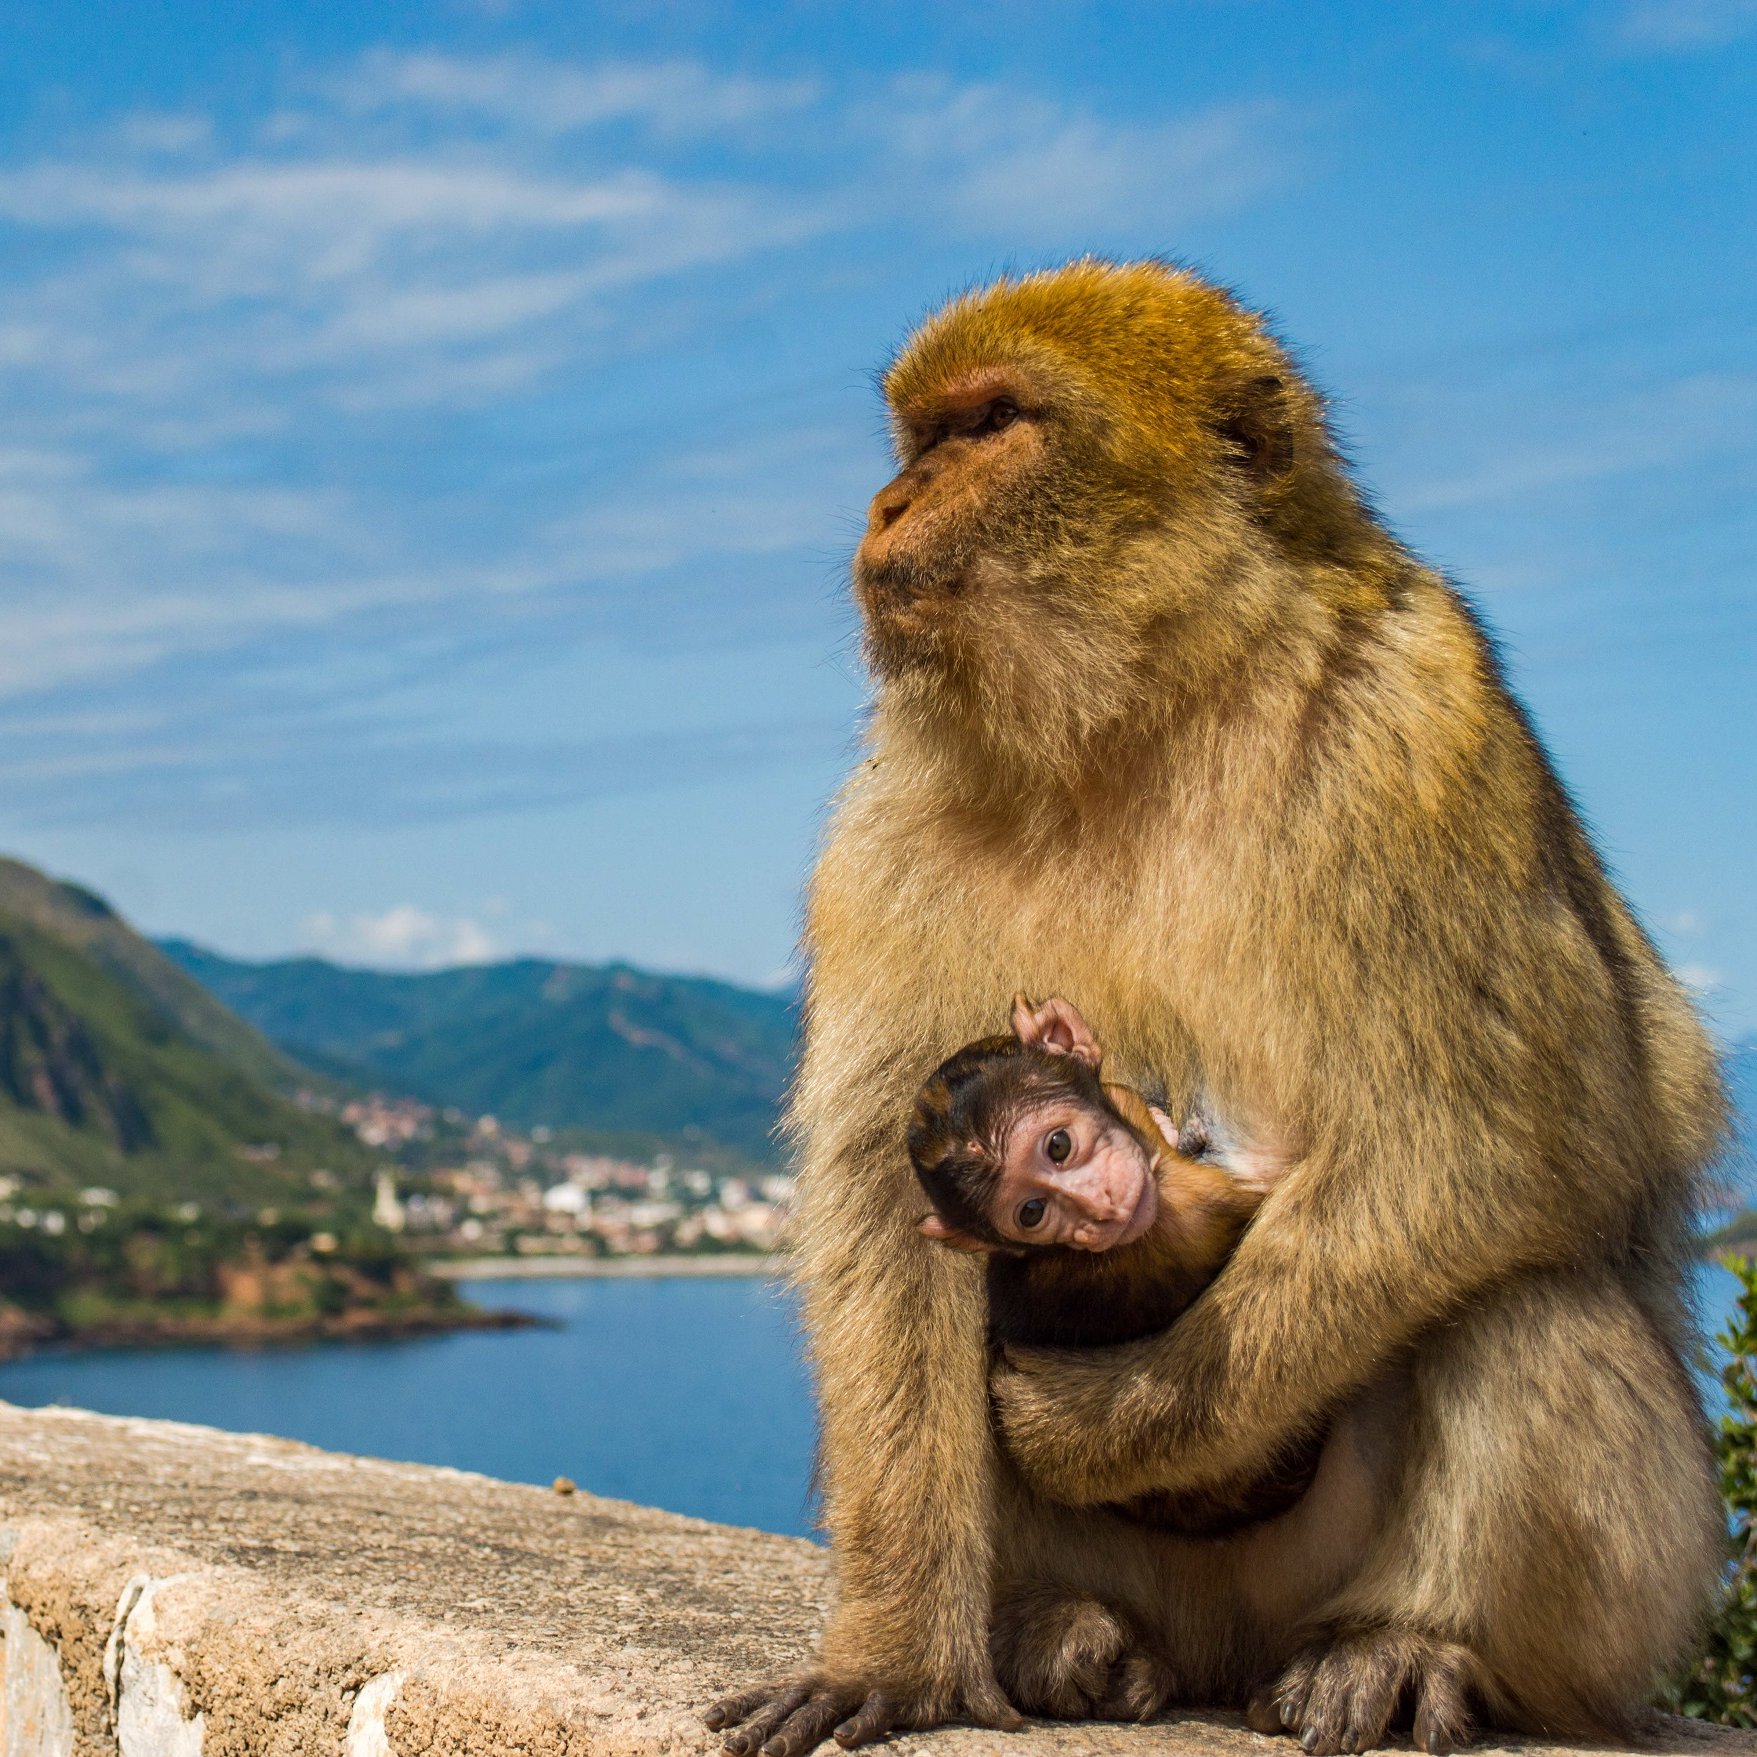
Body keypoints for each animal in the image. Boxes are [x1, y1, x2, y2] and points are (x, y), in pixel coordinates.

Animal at [705, 260, 1725, 1757]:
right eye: (918, 439)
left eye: (987, 424)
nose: (887, 505)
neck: (1143, 709)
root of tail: (1223, 1650)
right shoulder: (888, 826)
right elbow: (888, 1218)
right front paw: (892, 1649)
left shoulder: (1422, 718)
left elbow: (1497, 1137)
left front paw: (1093, 1423)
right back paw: (1060, 1635)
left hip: (1580, 1602)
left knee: (1531, 1304)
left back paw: (1411, 1644)